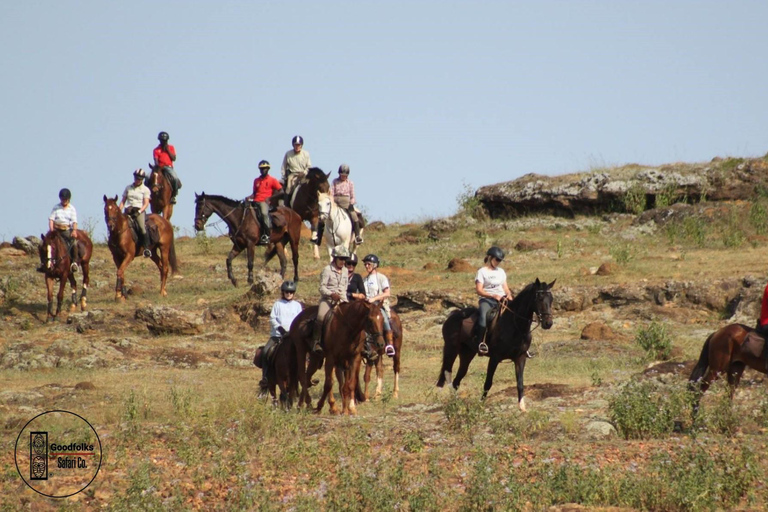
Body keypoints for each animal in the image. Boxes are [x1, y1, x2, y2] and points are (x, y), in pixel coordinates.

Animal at [436, 278, 556, 414]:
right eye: (539, 298)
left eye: (551, 299)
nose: (548, 323)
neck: (515, 325)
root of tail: (452, 316)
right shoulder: (494, 358)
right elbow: (488, 382)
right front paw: (481, 405)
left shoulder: (520, 358)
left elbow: (520, 383)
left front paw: (522, 407)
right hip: (451, 349)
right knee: (447, 372)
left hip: (467, 354)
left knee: (457, 379)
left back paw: (455, 403)